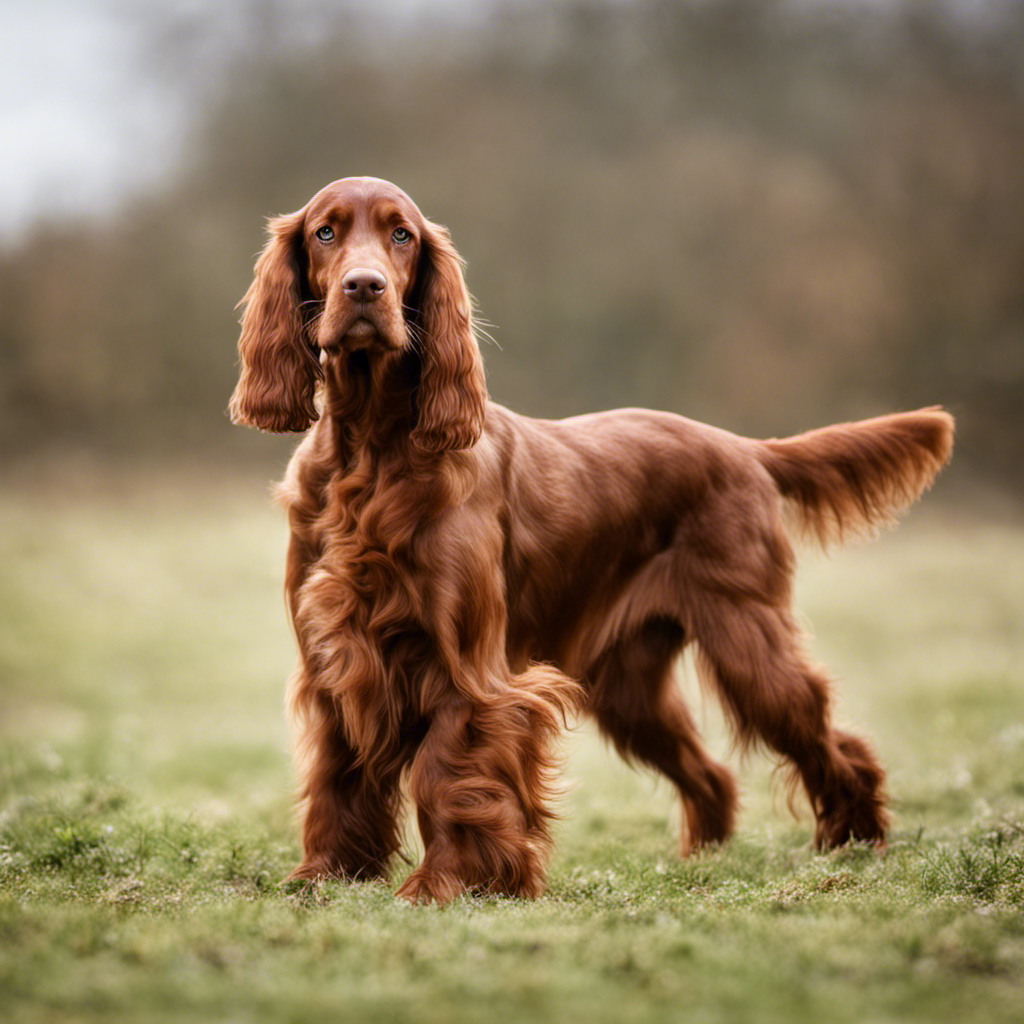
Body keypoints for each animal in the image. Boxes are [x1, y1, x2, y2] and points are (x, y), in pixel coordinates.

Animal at [230, 176, 950, 905]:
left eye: (401, 234)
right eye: (325, 232)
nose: (365, 286)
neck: (373, 451)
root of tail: (742, 447)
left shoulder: (469, 674)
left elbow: (448, 775)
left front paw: (446, 884)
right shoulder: (335, 659)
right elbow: (336, 776)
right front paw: (327, 875)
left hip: (748, 644)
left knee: (831, 741)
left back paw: (854, 843)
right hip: (628, 687)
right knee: (712, 772)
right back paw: (706, 858)